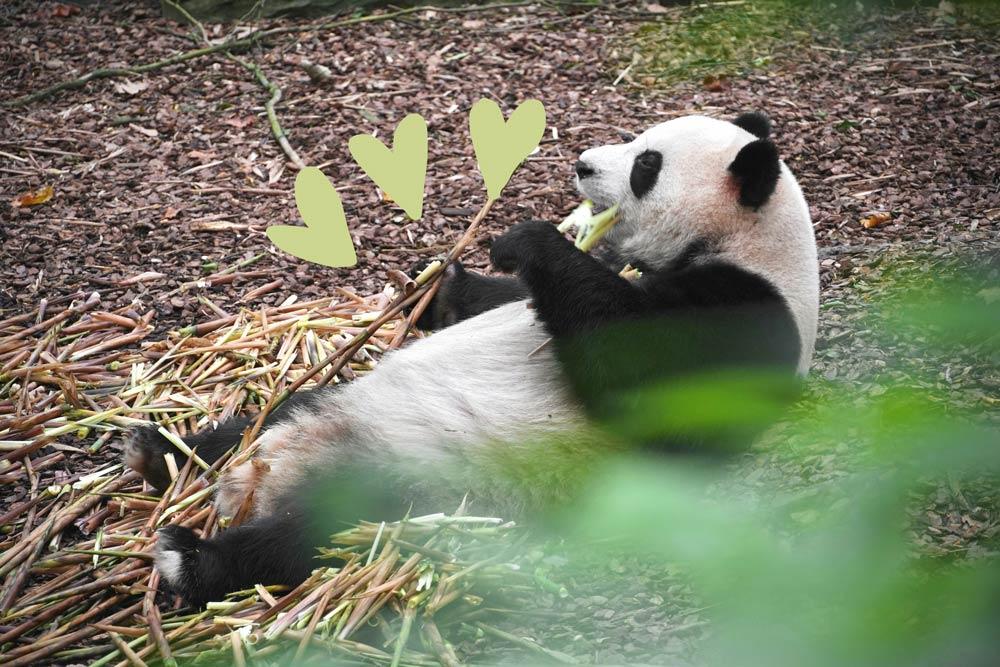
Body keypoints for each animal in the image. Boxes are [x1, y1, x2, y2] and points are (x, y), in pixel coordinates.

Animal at [125, 112, 819, 605]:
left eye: (647, 163)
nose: (583, 165)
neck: (748, 243)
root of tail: (268, 477)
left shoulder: (747, 318)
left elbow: (643, 374)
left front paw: (529, 238)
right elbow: (503, 300)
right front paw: (441, 281)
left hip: (424, 488)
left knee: (320, 533)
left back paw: (191, 560)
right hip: (326, 404)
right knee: (260, 421)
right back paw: (160, 452)